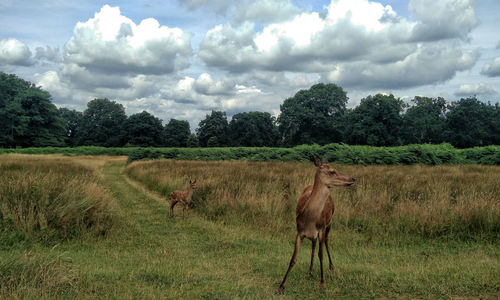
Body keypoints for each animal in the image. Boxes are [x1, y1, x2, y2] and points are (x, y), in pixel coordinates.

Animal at [278, 158, 356, 294]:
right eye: (332, 171)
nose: (353, 178)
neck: (310, 220)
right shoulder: (299, 231)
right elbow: (293, 259)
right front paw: (281, 286)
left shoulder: (321, 228)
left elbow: (321, 255)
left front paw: (322, 284)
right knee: (313, 244)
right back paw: (310, 270)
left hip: (329, 223)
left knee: (326, 240)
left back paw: (331, 267)